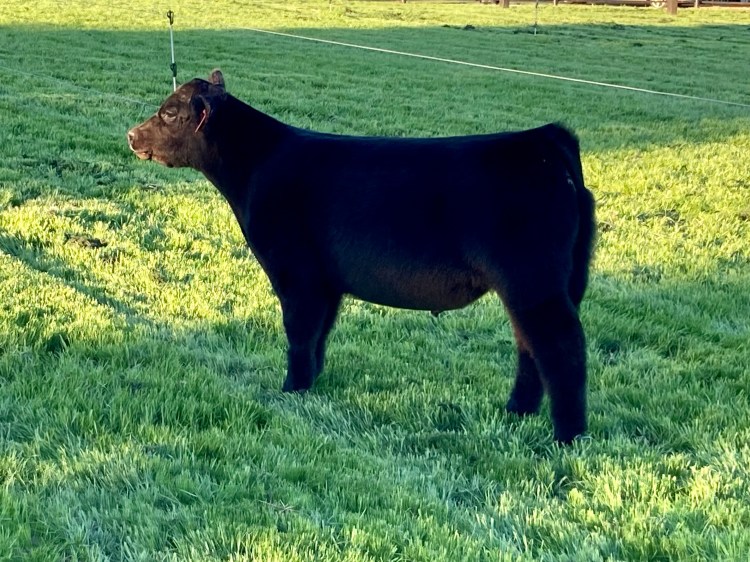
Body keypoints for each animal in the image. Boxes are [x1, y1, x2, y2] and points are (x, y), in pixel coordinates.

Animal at [127, 70, 595, 443]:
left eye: (169, 113)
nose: (132, 135)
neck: (258, 165)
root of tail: (541, 139)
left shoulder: (296, 274)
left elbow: (299, 332)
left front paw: (291, 389)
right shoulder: (326, 281)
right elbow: (319, 335)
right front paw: (311, 384)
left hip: (533, 283)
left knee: (561, 347)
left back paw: (567, 434)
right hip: (538, 286)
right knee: (529, 346)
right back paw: (517, 411)